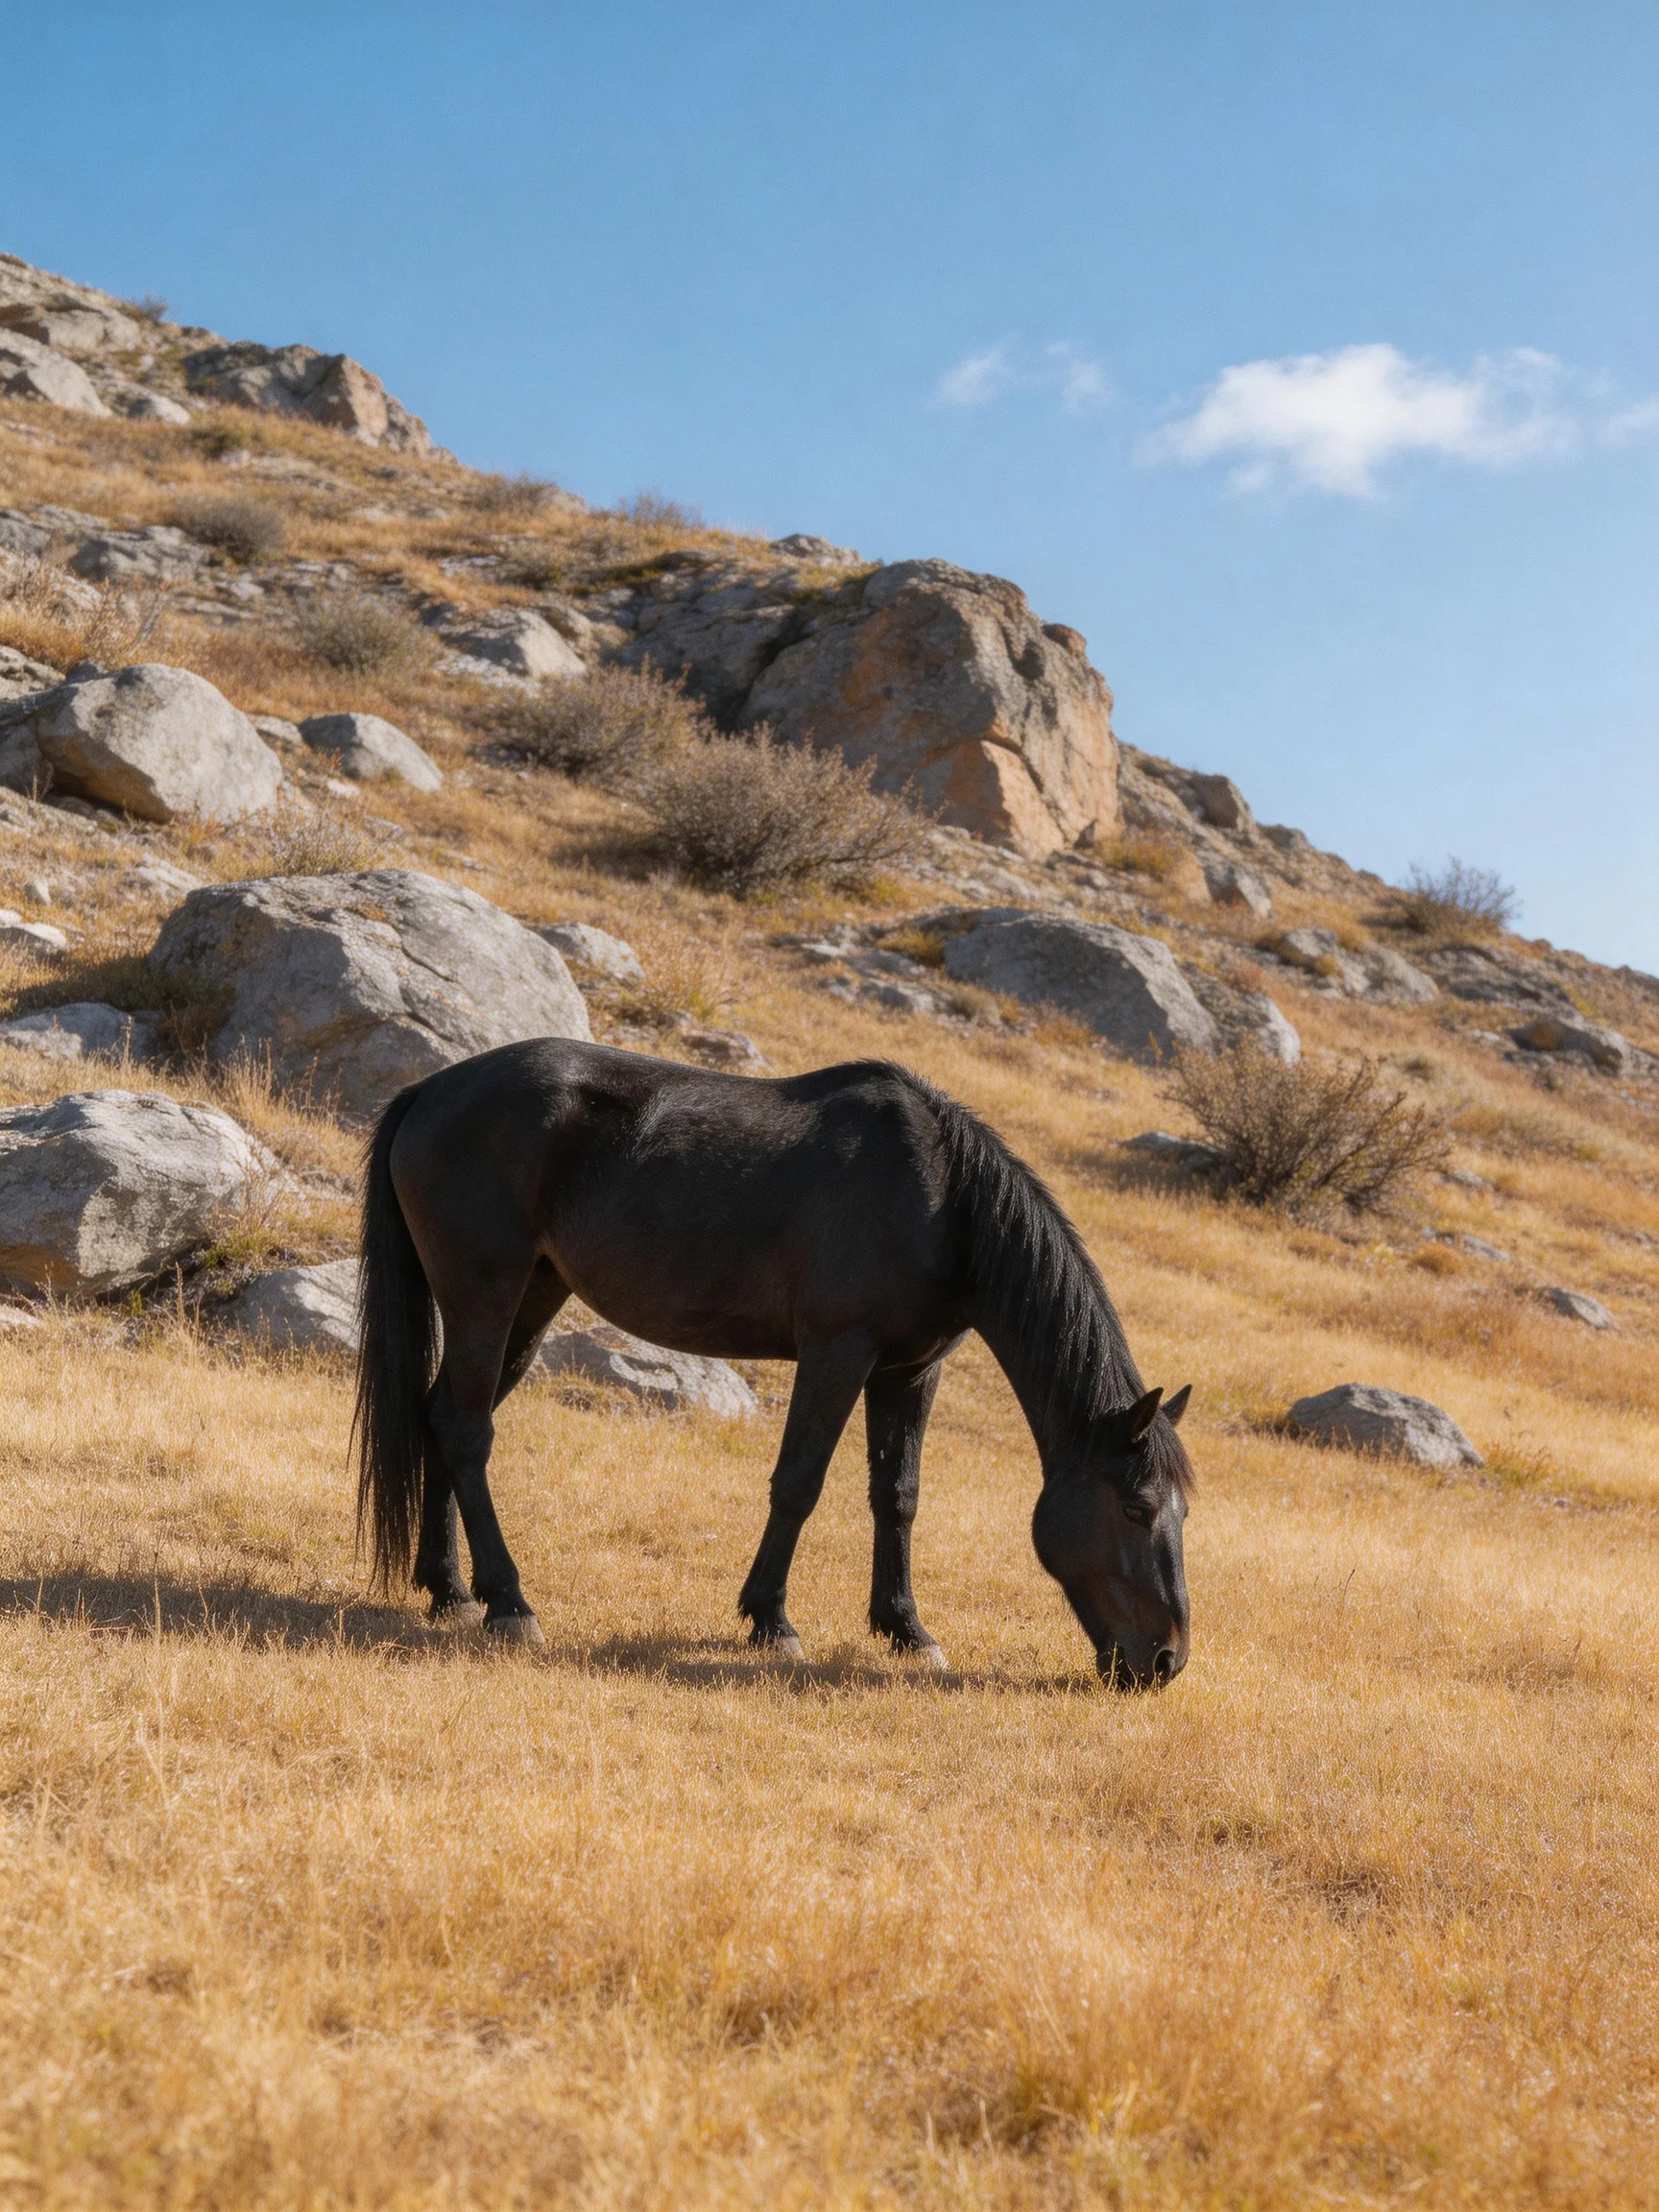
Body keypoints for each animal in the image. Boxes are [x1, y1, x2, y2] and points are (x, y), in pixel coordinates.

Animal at [354, 1040, 1195, 1688]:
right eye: (1136, 1508)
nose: (1166, 1661)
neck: (941, 1200)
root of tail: (430, 1090)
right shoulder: (837, 1351)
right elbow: (799, 1484)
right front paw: (772, 1621)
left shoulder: (909, 1372)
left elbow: (898, 1496)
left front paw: (907, 1631)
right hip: (484, 1296)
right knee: (467, 1431)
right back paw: (509, 1603)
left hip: (531, 1299)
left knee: (441, 1417)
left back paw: (449, 1590)